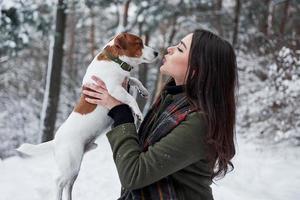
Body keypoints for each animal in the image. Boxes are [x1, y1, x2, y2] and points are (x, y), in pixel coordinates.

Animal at [16, 32, 159, 200]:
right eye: (138, 43)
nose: (157, 53)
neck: (116, 61)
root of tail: (56, 140)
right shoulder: (114, 89)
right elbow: (131, 99)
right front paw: (138, 112)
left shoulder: (125, 82)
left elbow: (134, 79)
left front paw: (144, 90)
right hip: (70, 164)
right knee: (58, 181)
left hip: (76, 164)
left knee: (68, 185)